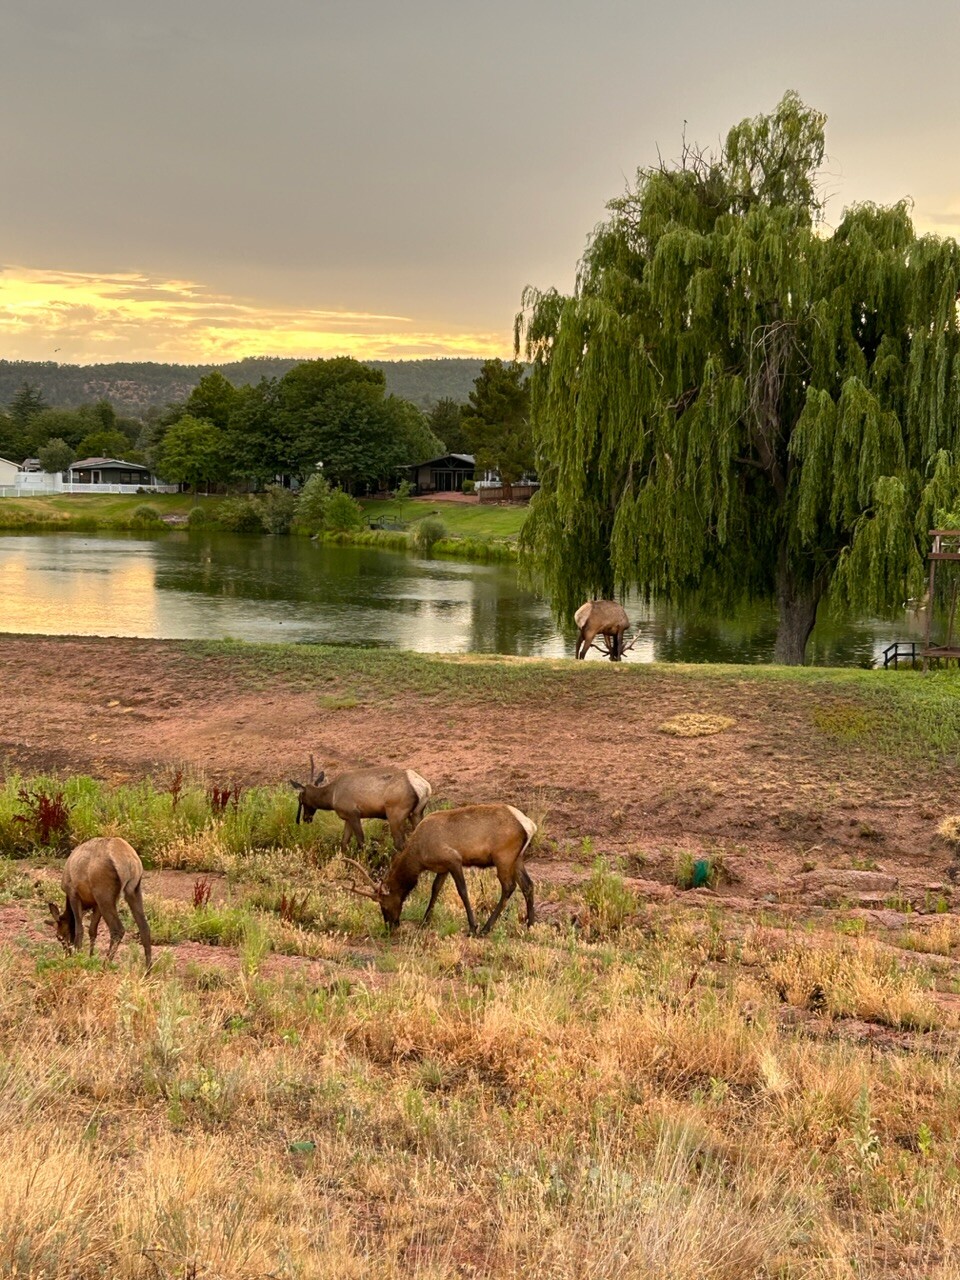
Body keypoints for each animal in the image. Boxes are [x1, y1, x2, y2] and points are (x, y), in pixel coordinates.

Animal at [47, 836, 152, 970]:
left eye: (59, 937)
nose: (67, 954)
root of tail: (129, 862)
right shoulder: (95, 904)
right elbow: (92, 930)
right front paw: (90, 957)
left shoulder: (73, 894)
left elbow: (79, 929)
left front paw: (78, 958)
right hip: (134, 890)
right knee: (144, 928)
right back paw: (147, 970)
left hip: (104, 893)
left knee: (118, 929)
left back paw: (105, 965)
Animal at [289, 756, 432, 852]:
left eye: (300, 799)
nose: (305, 818)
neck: (331, 797)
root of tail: (424, 787)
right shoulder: (347, 817)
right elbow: (344, 843)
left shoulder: (354, 813)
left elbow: (361, 842)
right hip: (416, 813)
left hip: (395, 814)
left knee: (400, 844)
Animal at [338, 803, 536, 935]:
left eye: (384, 904)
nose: (390, 926)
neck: (418, 857)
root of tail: (530, 826)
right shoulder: (442, 868)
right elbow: (435, 890)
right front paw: (424, 921)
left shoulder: (454, 859)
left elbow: (462, 891)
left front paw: (473, 926)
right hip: (517, 859)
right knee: (528, 885)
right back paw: (530, 924)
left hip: (503, 857)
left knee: (509, 887)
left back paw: (486, 928)